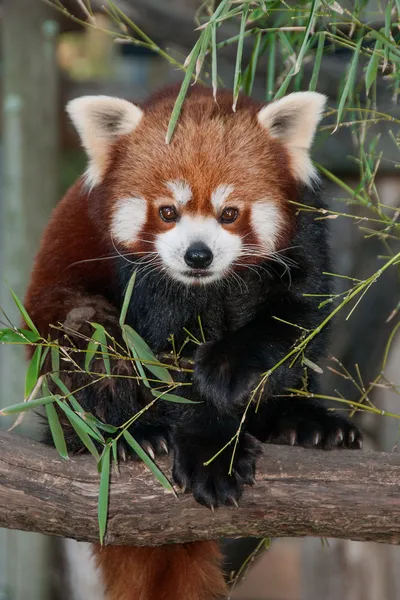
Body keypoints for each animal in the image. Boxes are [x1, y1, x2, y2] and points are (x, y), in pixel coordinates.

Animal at [25, 85, 362, 600]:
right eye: (168, 212)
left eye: (229, 213)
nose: (197, 255)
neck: (208, 286)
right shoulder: (143, 288)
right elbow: (166, 370)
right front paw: (209, 452)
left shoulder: (303, 245)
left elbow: (292, 321)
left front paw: (226, 375)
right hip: (65, 336)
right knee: (89, 342)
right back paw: (128, 434)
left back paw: (303, 422)